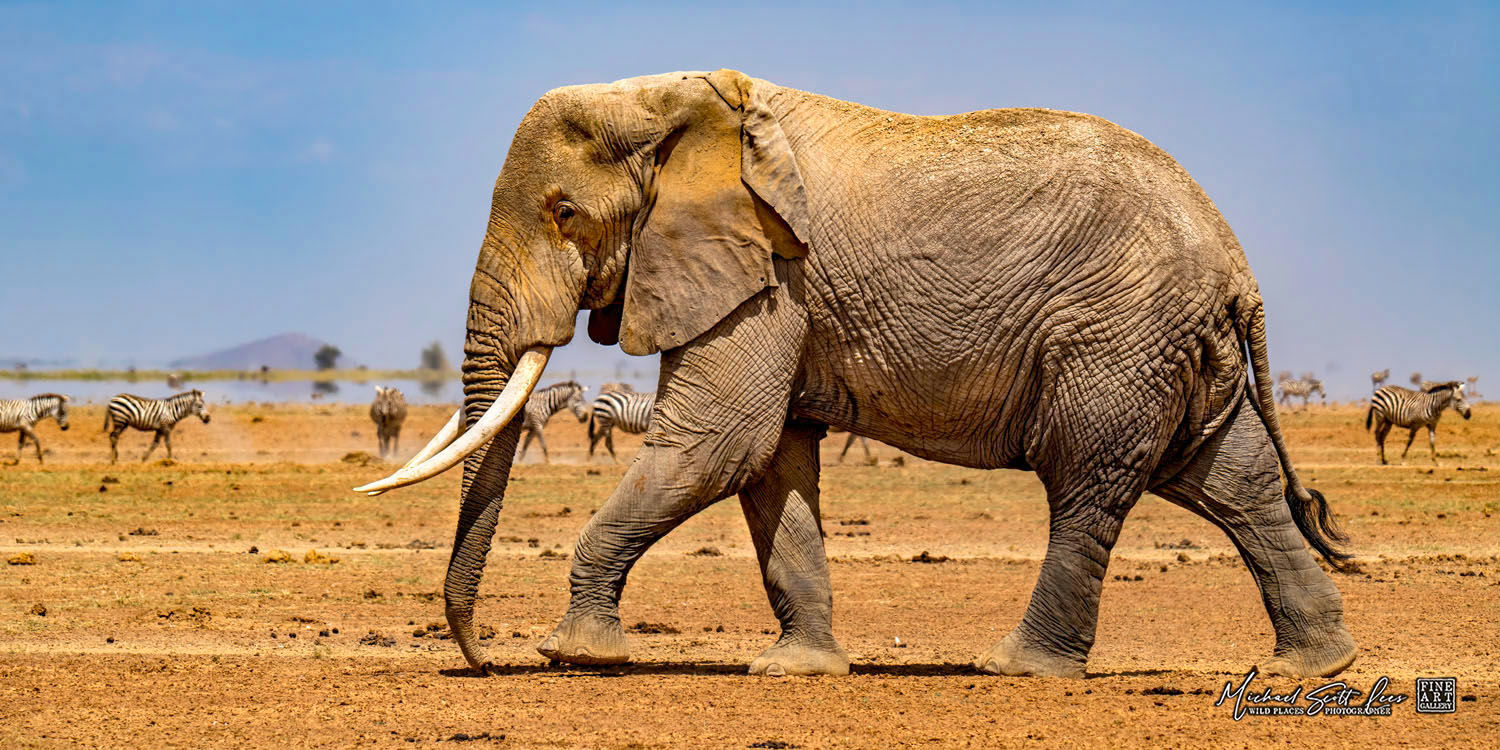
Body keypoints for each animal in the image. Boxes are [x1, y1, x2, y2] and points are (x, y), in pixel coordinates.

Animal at [357, 69, 1356, 680]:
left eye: (564, 212)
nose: (482, 656)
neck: (675, 99)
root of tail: (1234, 262)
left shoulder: (769, 271)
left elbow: (718, 443)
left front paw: (575, 656)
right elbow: (770, 464)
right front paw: (796, 669)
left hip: (1117, 334)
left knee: (1087, 483)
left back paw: (1018, 668)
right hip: (1174, 349)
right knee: (1233, 480)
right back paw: (1315, 667)